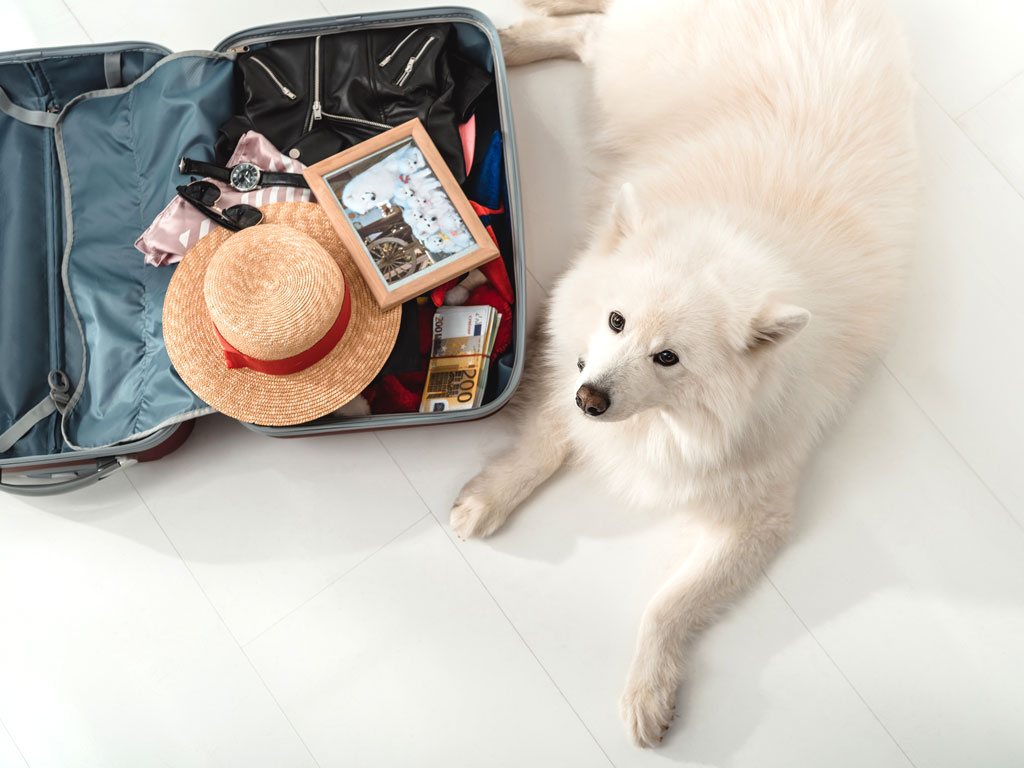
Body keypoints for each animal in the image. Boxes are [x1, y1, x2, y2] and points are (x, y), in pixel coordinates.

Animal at [452, 0, 917, 753]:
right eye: (615, 321)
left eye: (667, 358)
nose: (591, 399)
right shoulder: (573, 370)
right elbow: (544, 445)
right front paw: (490, 498)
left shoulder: (756, 516)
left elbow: (670, 605)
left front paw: (649, 691)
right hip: (628, 65)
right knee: (588, 32)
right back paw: (513, 44)